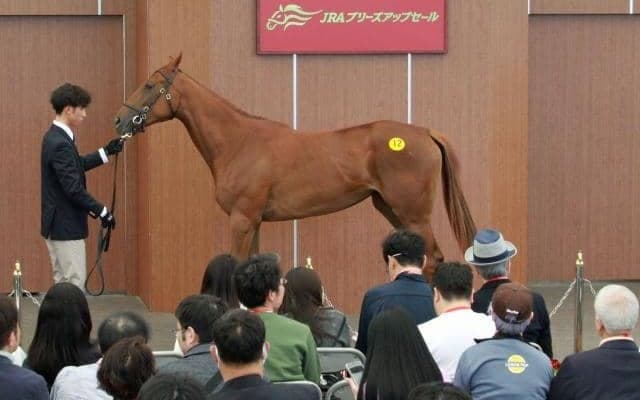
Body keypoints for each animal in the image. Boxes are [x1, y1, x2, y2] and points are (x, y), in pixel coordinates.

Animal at [113, 54, 476, 276]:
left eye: (149, 85)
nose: (119, 120)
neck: (239, 141)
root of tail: (424, 132)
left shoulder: (242, 219)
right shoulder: (254, 221)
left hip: (413, 213)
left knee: (432, 260)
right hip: (390, 208)